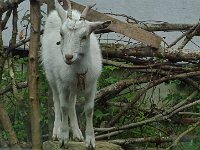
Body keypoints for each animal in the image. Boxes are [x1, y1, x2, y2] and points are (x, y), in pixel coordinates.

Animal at [41, 0, 111, 149]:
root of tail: (56, 13)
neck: (78, 70)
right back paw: (56, 132)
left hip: (73, 87)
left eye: (84, 36)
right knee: (57, 101)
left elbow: (89, 109)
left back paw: (77, 134)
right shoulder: (62, 84)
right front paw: (63, 138)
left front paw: (90, 140)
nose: (68, 57)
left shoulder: (92, 85)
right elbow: (63, 107)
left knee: (72, 103)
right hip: (51, 77)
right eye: (61, 34)